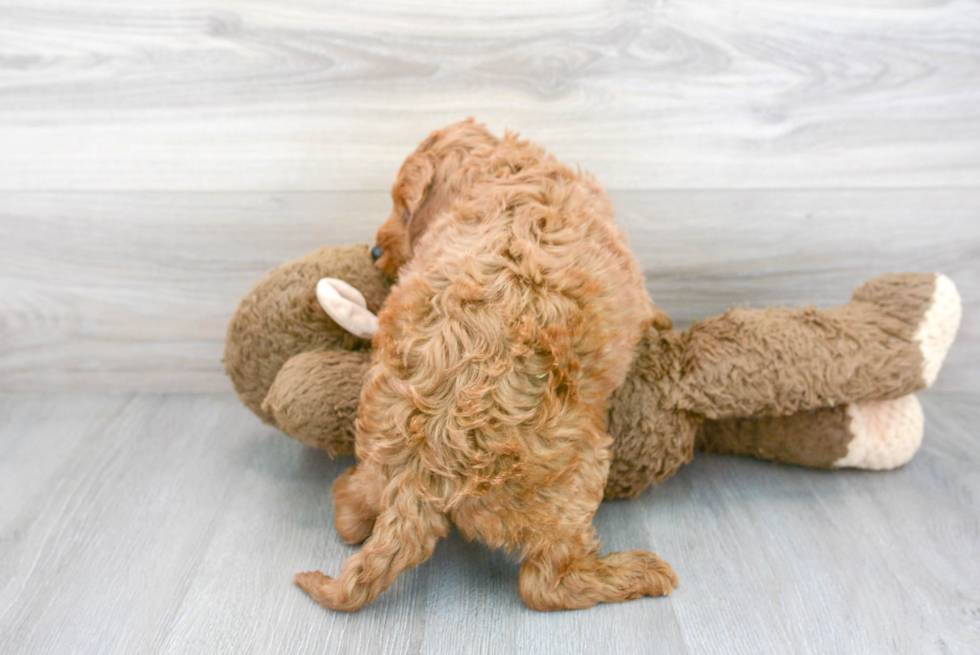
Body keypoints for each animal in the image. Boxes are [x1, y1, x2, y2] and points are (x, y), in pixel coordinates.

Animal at [294, 119, 676, 616]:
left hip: (375, 450)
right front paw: (665, 321)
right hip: (578, 473)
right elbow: (649, 309)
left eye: (404, 210)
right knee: (547, 583)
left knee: (352, 513)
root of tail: (420, 469)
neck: (504, 173)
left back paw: (346, 494)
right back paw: (637, 573)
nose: (375, 252)